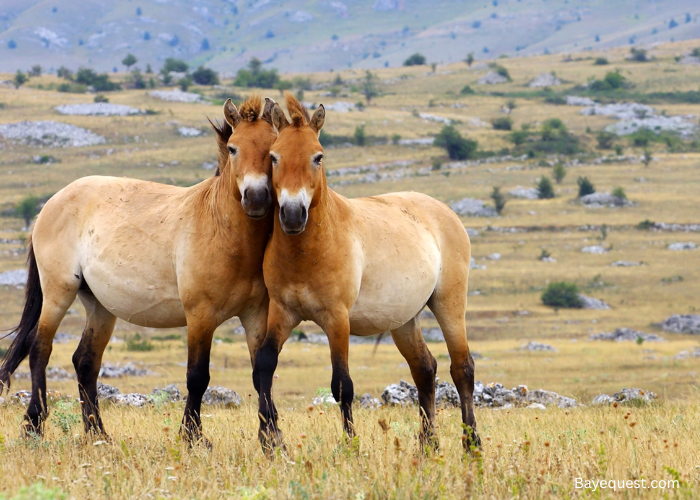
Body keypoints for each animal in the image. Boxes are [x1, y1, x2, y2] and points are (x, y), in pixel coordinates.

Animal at [0, 95, 278, 447]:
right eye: (233, 148)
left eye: (273, 149)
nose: (256, 198)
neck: (222, 230)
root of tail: (49, 205)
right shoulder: (200, 316)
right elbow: (197, 376)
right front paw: (192, 437)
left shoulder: (256, 315)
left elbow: (262, 372)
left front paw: (272, 438)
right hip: (58, 293)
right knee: (40, 349)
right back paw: (33, 426)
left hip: (100, 306)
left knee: (85, 362)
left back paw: (97, 433)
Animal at [253, 93, 480, 453]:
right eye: (273, 157)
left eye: (318, 157)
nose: (292, 214)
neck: (307, 252)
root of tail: (445, 211)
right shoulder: (282, 312)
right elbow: (264, 365)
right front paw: (268, 442)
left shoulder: (337, 320)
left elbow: (342, 385)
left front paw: (351, 446)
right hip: (403, 319)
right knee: (424, 368)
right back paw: (428, 445)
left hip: (449, 303)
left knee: (462, 369)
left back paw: (472, 444)